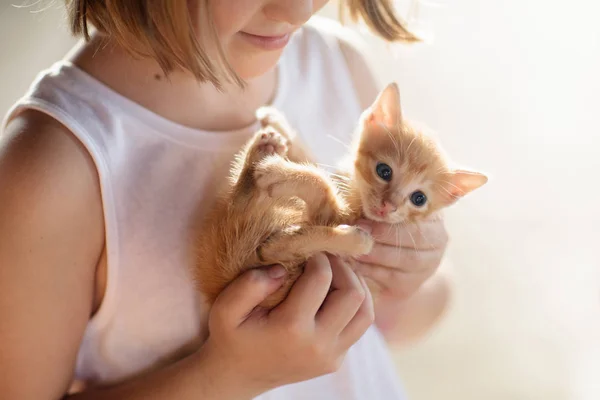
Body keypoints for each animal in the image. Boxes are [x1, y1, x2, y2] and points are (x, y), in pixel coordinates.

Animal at [196, 82, 488, 306]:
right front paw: (278, 123)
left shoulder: (334, 215)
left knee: (272, 250)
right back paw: (262, 153)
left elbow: (322, 184)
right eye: (384, 171)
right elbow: (315, 164)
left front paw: (278, 171)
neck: (354, 191)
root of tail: (222, 281)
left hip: (285, 268)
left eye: (419, 199)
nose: (388, 206)